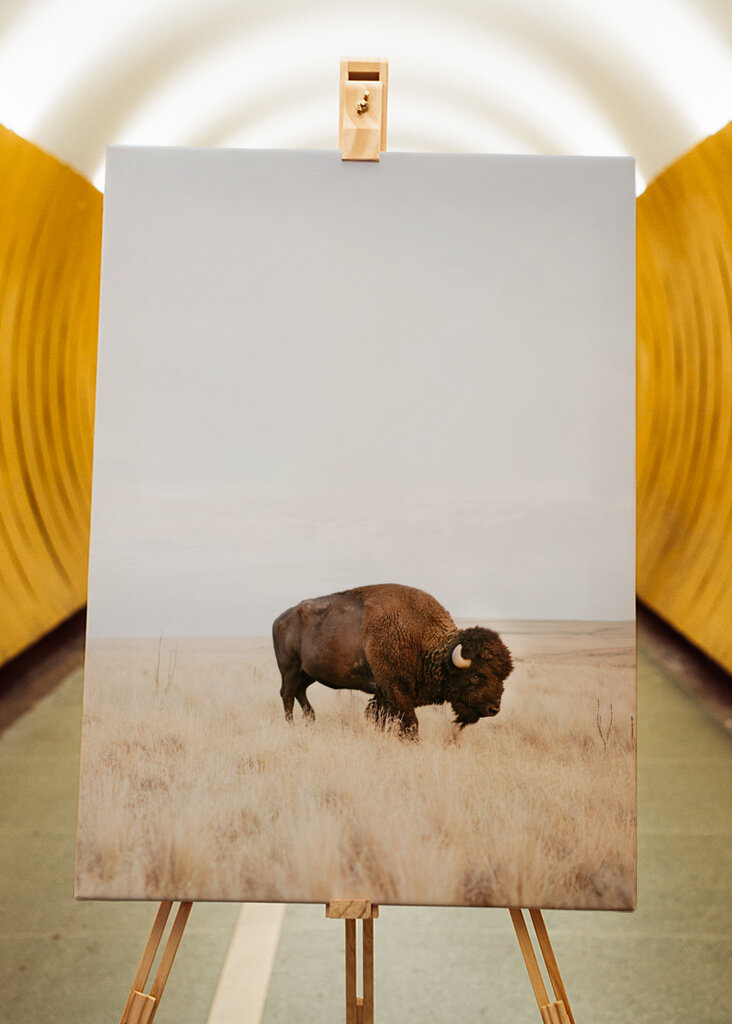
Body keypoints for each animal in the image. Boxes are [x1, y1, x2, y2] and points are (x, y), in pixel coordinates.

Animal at [272, 583, 513, 737]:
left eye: (503, 677)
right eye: (476, 675)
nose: (494, 708)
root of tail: (280, 619)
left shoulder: (384, 695)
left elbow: (381, 717)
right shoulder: (395, 689)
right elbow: (410, 722)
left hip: (308, 673)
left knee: (300, 692)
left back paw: (311, 720)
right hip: (290, 668)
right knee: (288, 695)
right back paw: (292, 726)